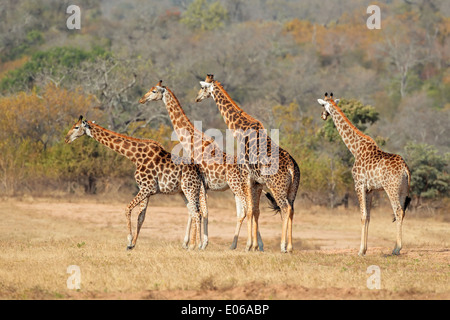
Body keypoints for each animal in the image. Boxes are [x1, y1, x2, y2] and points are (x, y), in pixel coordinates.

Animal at [64, 115, 206, 250]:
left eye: (76, 127)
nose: (66, 139)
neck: (135, 156)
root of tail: (199, 171)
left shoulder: (147, 187)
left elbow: (127, 209)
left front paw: (129, 240)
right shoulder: (146, 190)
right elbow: (141, 216)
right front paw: (132, 245)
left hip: (189, 188)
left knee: (197, 213)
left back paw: (196, 245)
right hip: (184, 191)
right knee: (194, 212)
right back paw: (191, 244)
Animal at [140, 80, 270, 250]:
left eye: (154, 91)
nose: (142, 99)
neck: (192, 142)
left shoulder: (198, 184)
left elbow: (198, 211)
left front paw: (195, 243)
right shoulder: (201, 185)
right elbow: (200, 211)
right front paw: (195, 243)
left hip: (239, 186)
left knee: (247, 209)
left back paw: (247, 245)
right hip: (248, 188)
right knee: (252, 210)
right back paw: (255, 245)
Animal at [195, 74, 300, 251]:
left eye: (203, 87)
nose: (197, 98)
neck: (239, 131)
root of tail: (292, 167)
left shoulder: (246, 177)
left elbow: (249, 210)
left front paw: (249, 246)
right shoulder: (257, 182)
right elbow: (255, 211)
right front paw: (255, 246)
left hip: (277, 187)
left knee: (285, 208)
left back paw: (283, 246)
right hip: (293, 189)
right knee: (292, 209)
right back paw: (291, 247)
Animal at [316, 92, 412, 255]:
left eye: (323, 105)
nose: (322, 116)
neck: (355, 149)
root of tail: (405, 168)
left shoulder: (358, 184)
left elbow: (362, 215)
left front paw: (360, 250)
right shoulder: (370, 189)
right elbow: (368, 217)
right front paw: (365, 249)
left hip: (391, 188)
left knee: (398, 211)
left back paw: (397, 249)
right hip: (403, 190)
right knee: (402, 212)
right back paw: (396, 247)